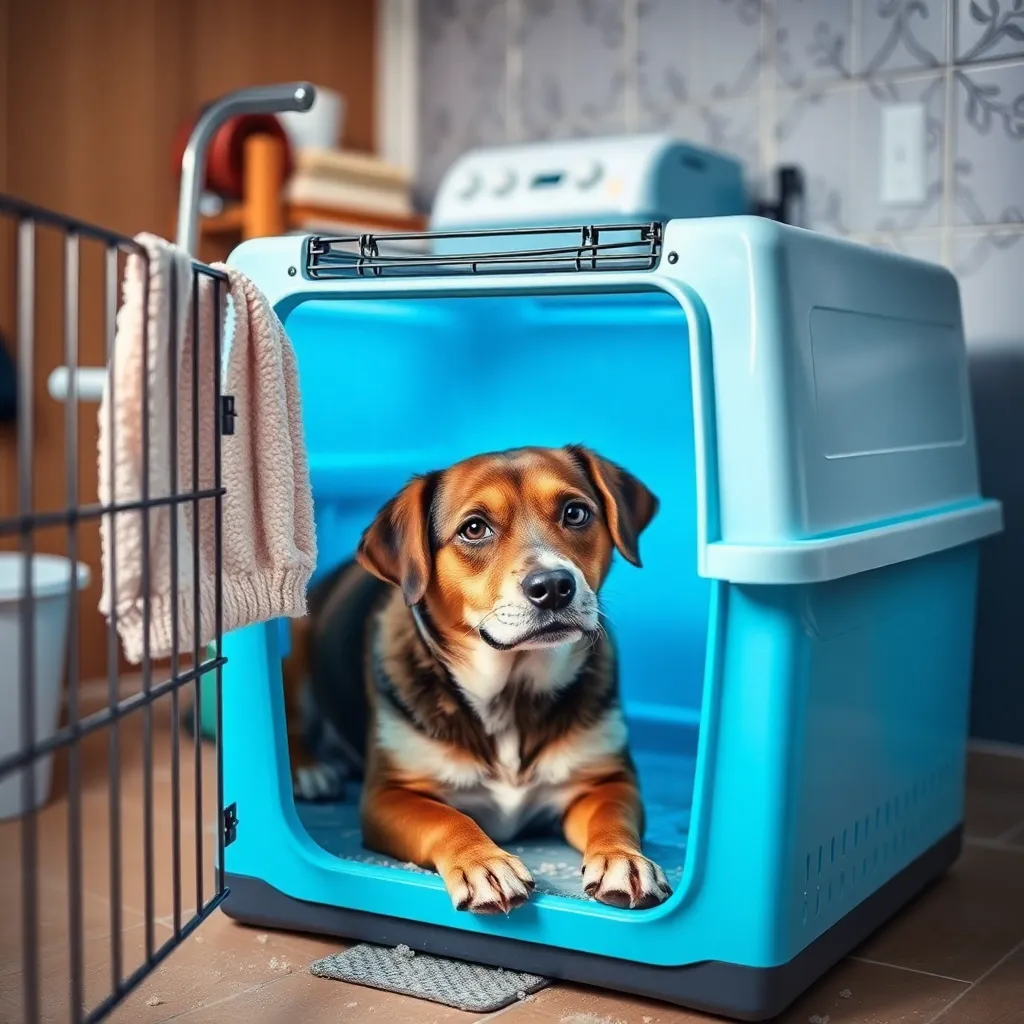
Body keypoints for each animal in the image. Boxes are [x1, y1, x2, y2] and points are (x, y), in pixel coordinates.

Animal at [286, 444, 671, 917]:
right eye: (474, 528)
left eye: (576, 513)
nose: (553, 585)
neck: (511, 693)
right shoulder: (389, 794)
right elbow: (448, 818)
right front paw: (484, 864)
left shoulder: (607, 780)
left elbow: (611, 817)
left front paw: (623, 860)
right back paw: (308, 772)